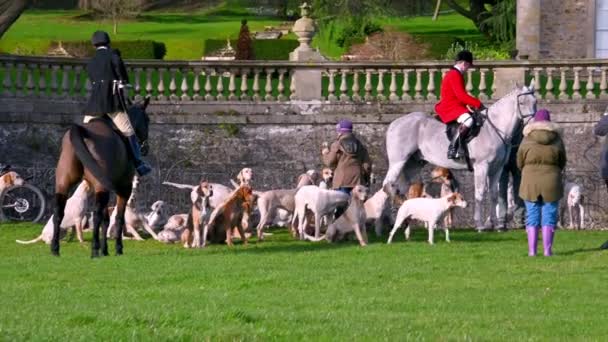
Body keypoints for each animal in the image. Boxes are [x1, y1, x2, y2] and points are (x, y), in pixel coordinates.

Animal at [52, 97, 152, 256]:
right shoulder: (124, 188)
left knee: (59, 212)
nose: (145, 148)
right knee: (97, 214)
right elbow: (118, 218)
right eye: (147, 120)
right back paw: (94, 250)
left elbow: (106, 219)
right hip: (105, 187)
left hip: (64, 184)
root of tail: (82, 131)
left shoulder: (102, 189)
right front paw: (117, 248)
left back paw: (55, 249)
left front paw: (105, 250)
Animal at [384, 82, 536, 230]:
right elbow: (480, 194)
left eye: (535, 102)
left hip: (413, 165)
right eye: (521, 103)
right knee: (388, 186)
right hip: (398, 162)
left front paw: (494, 224)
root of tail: (394, 123)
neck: (494, 129)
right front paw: (480, 225)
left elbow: (494, 194)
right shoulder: (482, 166)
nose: (531, 126)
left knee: (403, 189)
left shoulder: (497, 168)